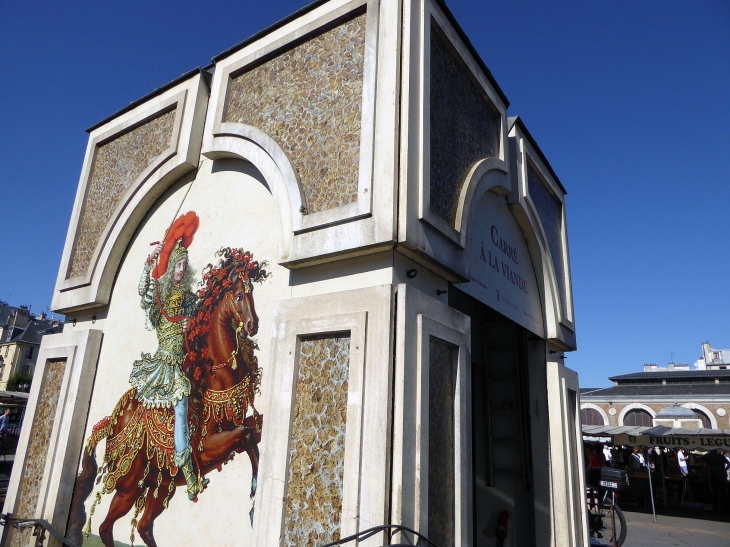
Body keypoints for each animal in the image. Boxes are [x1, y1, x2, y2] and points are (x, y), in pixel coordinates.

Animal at [67, 249, 268, 547]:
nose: (253, 326)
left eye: (252, 292)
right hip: (129, 484)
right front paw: (255, 494)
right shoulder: (207, 448)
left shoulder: (240, 430)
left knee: (144, 527)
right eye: (241, 295)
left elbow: (254, 433)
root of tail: (110, 423)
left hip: (159, 486)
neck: (215, 379)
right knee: (105, 526)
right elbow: (245, 434)